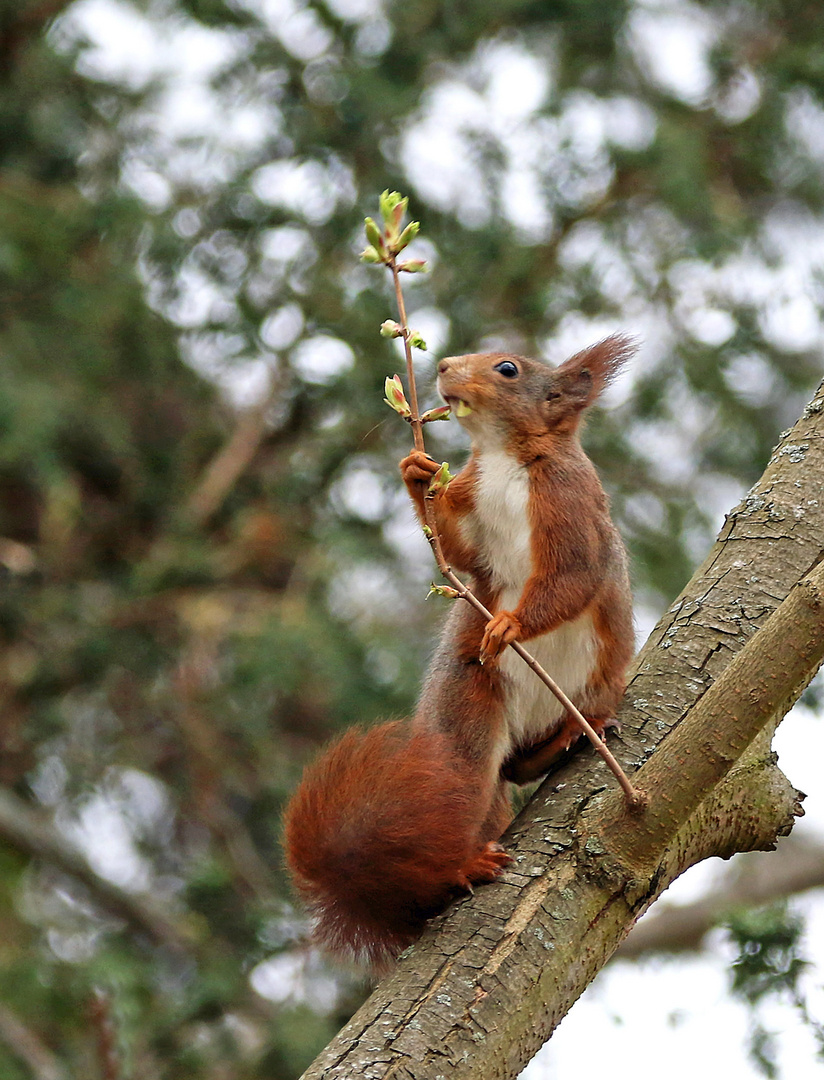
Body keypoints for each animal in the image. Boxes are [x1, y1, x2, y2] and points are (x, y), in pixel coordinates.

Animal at [282, 334, 639, 972]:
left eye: (508, 368)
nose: (445, 366)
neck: (500, 459)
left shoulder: (570, 506)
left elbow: (571, 577)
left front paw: (509, 626)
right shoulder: (472, 502)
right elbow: (457, 550)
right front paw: (416, 472)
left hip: (596, 681)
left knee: (524, 761)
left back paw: (574, 735)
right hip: (469, 719)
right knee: (493, 773)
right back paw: (465, 861)